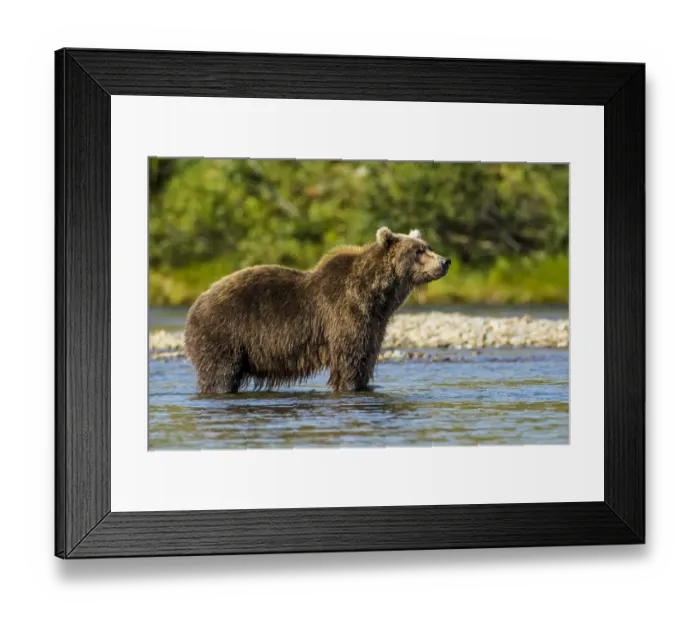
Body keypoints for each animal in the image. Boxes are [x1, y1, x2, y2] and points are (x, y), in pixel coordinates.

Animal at [183, 227, 451, 393]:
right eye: (418, 251)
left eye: (429, 246)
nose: (445, 261)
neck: (375, 295)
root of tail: (195, 304)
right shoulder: (344, 315)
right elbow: (349, 360)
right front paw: (349, 385)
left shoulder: (375, 324)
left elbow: (366, 358)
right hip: (223, 334)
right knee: (219, 374)